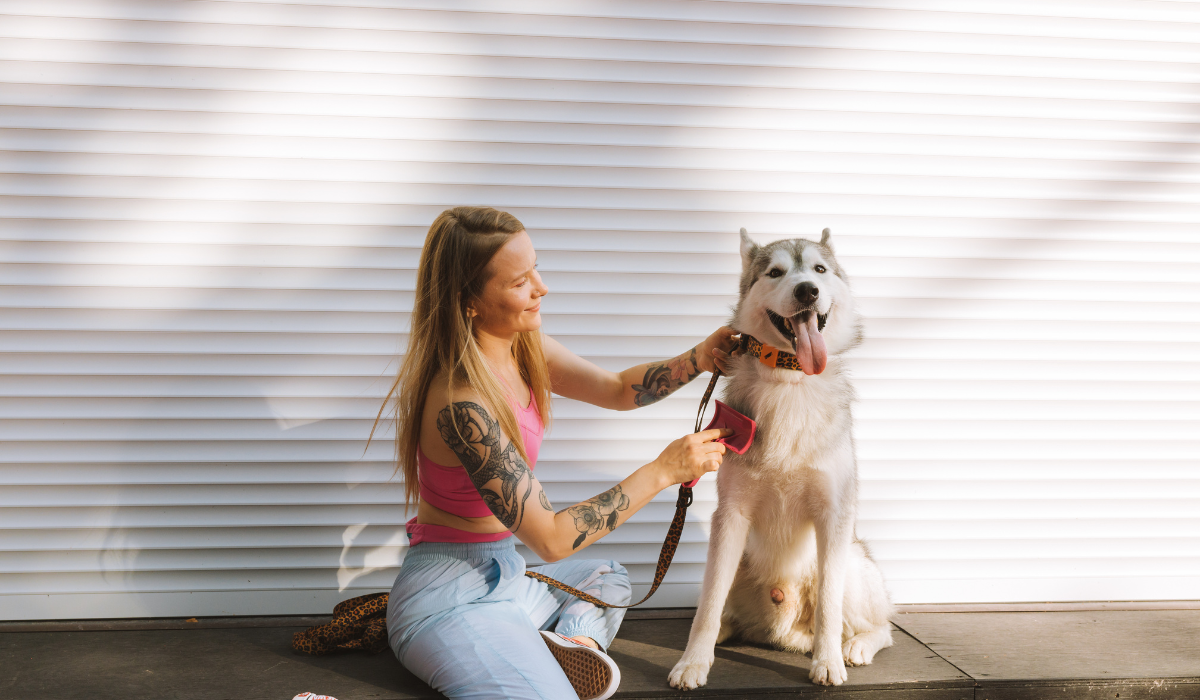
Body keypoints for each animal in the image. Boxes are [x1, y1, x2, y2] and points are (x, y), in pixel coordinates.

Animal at [672, 226, 897, 686]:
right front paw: (693, 660)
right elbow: (707, 605)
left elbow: (830, 605)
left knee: (880, 626)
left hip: (853, 563)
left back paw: (854, 646)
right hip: (737, 561)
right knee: (723, 606)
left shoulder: (833, 515)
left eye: (820, 269)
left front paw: (828, 662)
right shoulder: (730, 516)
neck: (791, 380)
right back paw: (728, 630)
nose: (807, 290)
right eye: (775, 272)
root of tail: (786, 630)